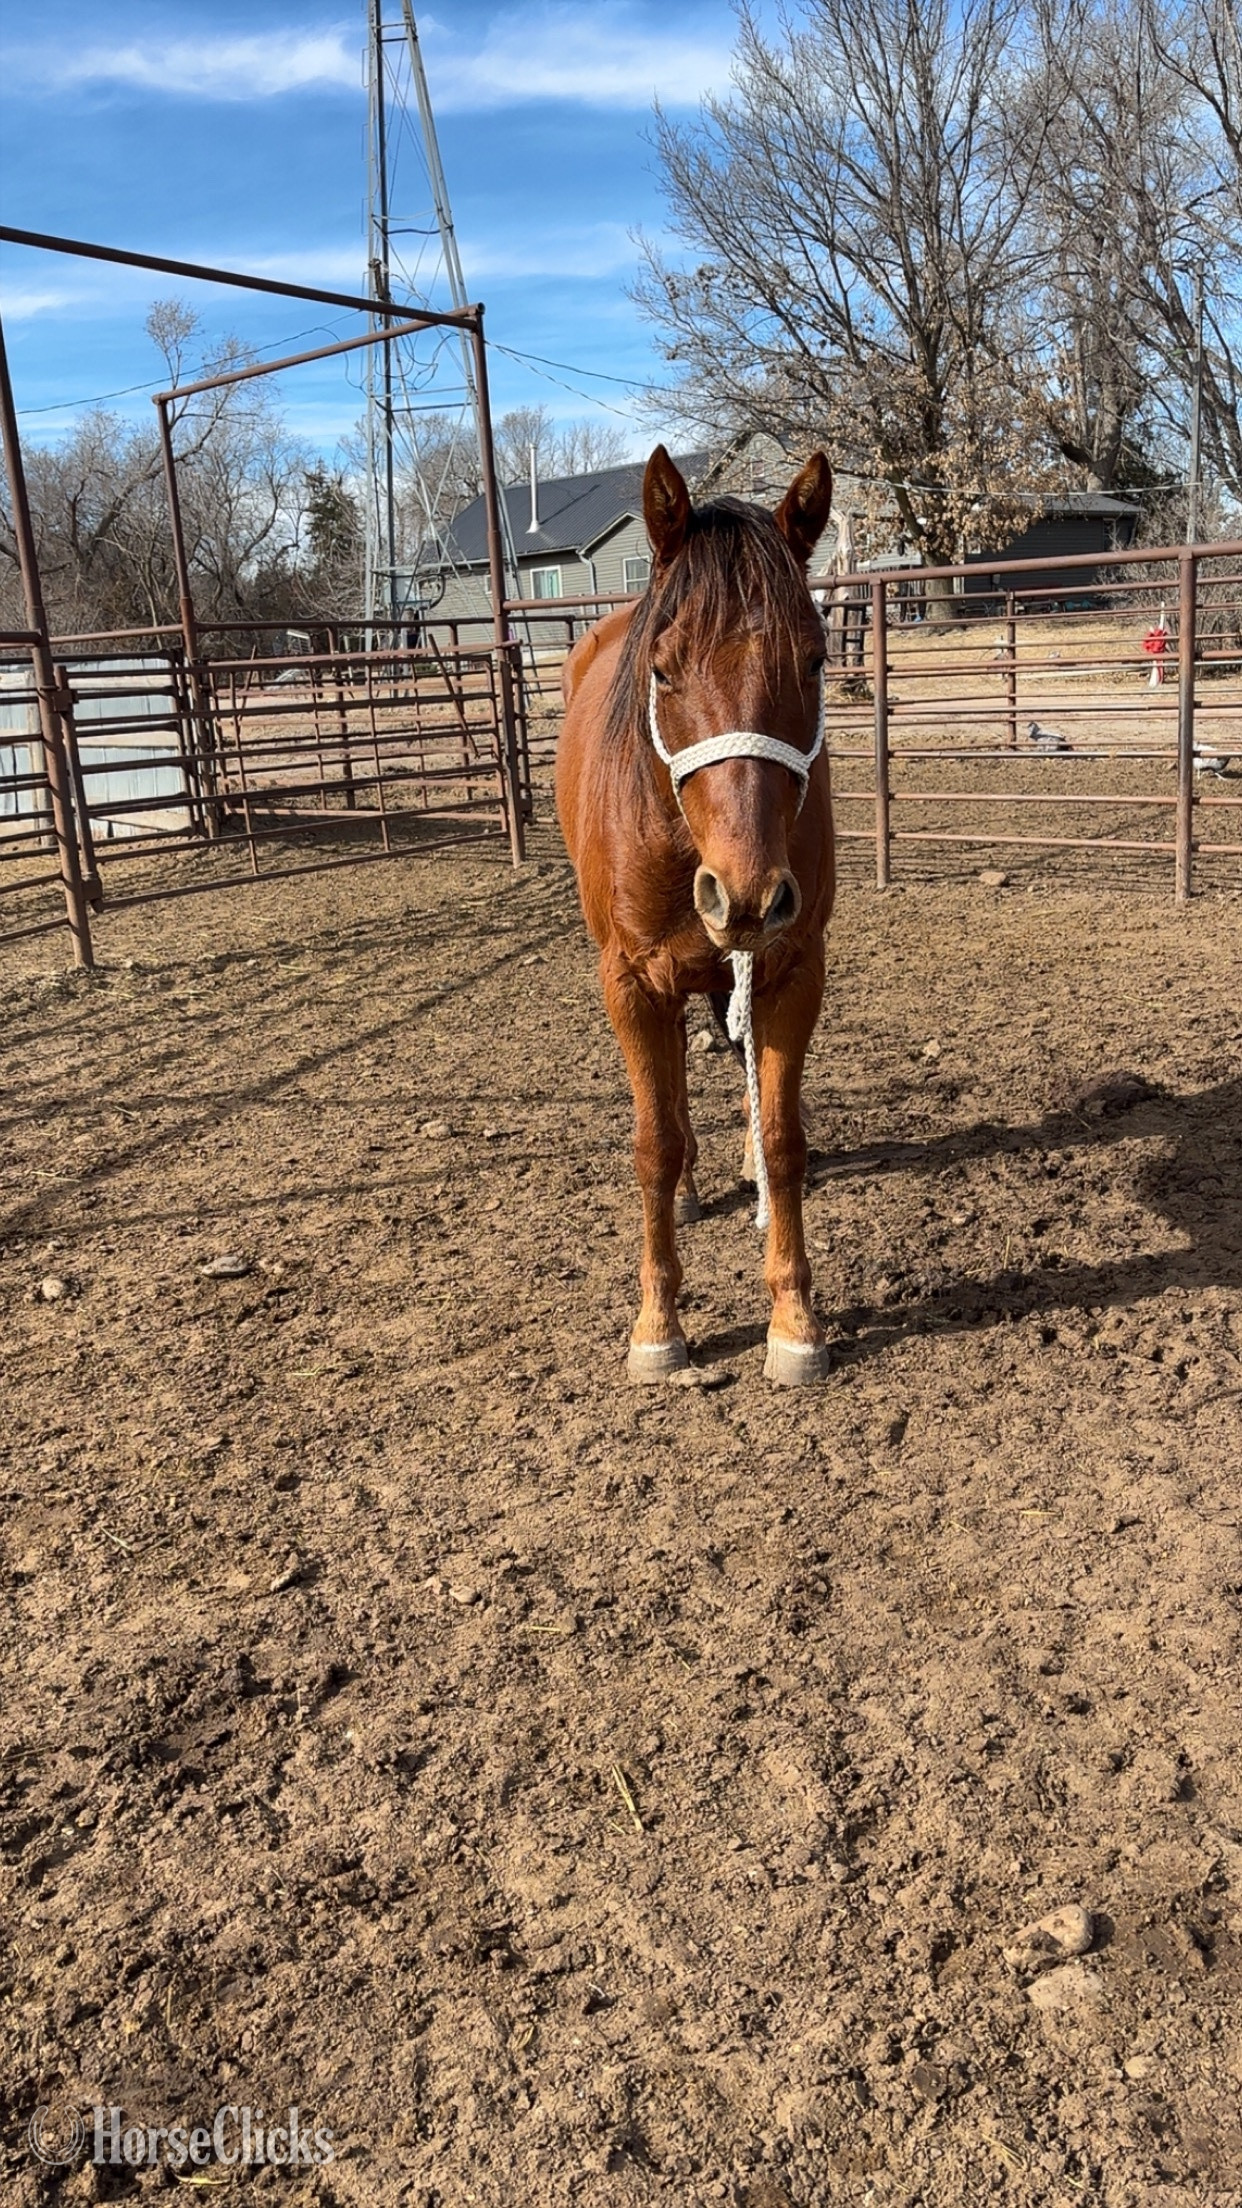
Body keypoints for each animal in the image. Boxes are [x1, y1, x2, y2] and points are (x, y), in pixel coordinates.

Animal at [556, 445, 837, 1385]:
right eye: (664, 668)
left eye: (816, 661)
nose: (746, 893)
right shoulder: (631, 983)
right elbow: (653, 1144)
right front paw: (656, 1324)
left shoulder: (793, 969)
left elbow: (784, 1139)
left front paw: (794, 1320)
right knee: (672, 1102)